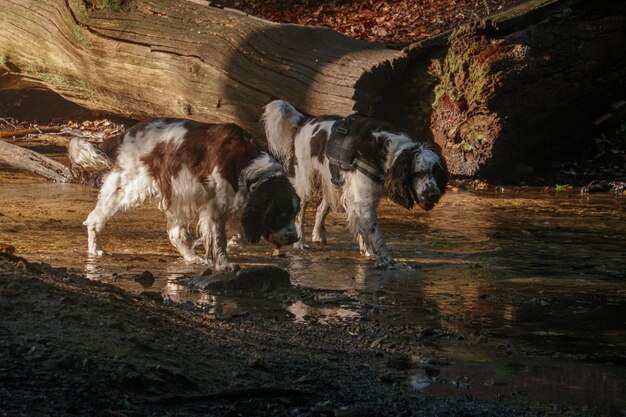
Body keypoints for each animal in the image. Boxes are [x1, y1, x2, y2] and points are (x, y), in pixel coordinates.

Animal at [68, 118, 300, 272]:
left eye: (294, 214)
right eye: (281, 215)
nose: (295, 237)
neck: (247, 166)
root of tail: (126, 134)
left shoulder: (233, 206)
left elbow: (239, 237)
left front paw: (214, 247)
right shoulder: (215, 205)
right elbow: (219, 238)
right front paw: (224, 263)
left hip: (175, 197)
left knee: (175, 233)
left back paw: (192, 257)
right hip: (127, 189)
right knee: (94, 219)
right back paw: (95, 250)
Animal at [260, 101, 446, 270]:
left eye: (436, 172)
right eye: (418, 173)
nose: (434, 195)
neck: (386, 153)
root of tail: (304, 121)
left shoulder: (360, 197)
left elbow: (362, 228)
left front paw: (367, 251)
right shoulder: (363, 199)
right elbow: (375, 233)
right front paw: (386, 260)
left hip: (333, 183)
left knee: (321, 208)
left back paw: (318, 235)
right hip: (305, 181)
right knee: (300, 213)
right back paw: (300, 244)